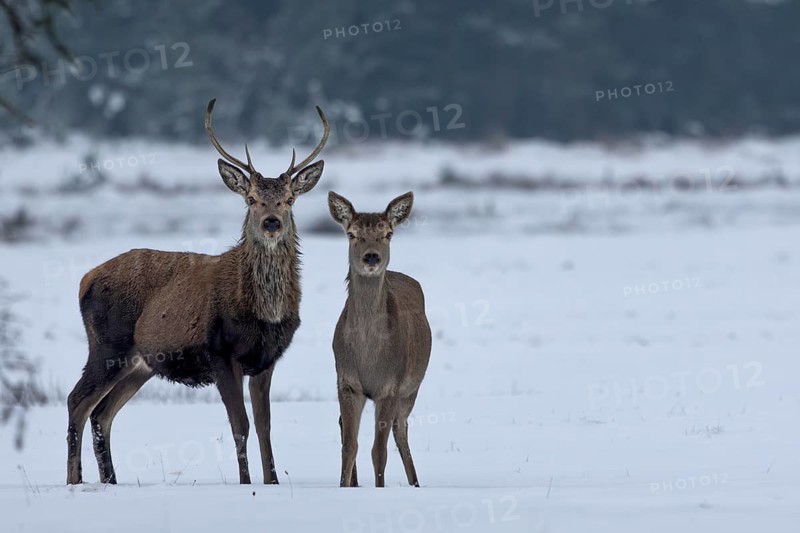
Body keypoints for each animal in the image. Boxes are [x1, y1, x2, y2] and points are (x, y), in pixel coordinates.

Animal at [66, 99, 329, 485]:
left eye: (290, 199)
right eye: (252, 199)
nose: (271, 223)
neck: (262, 310)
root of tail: (85, 279)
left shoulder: (265, 359)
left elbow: (264, 426)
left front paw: (273, 481)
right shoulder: (220, 352)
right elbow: (240, 425)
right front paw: (246, 482)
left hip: (140, 363)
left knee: (102, 413)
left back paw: (110, 481)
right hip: (107, 345)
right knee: (77, 402)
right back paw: (75, 480)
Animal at [327, 191, 432, 488]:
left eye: (388, 233)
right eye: (352, 233)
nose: (371, 257)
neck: (369, 355)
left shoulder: (390, 386)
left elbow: (379, 451)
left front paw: (379, 487)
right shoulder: (347, 382)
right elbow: (350, 445)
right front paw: (343, 486)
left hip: (411, 389)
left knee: (401, 430)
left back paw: (415, 482)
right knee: (343, 424)